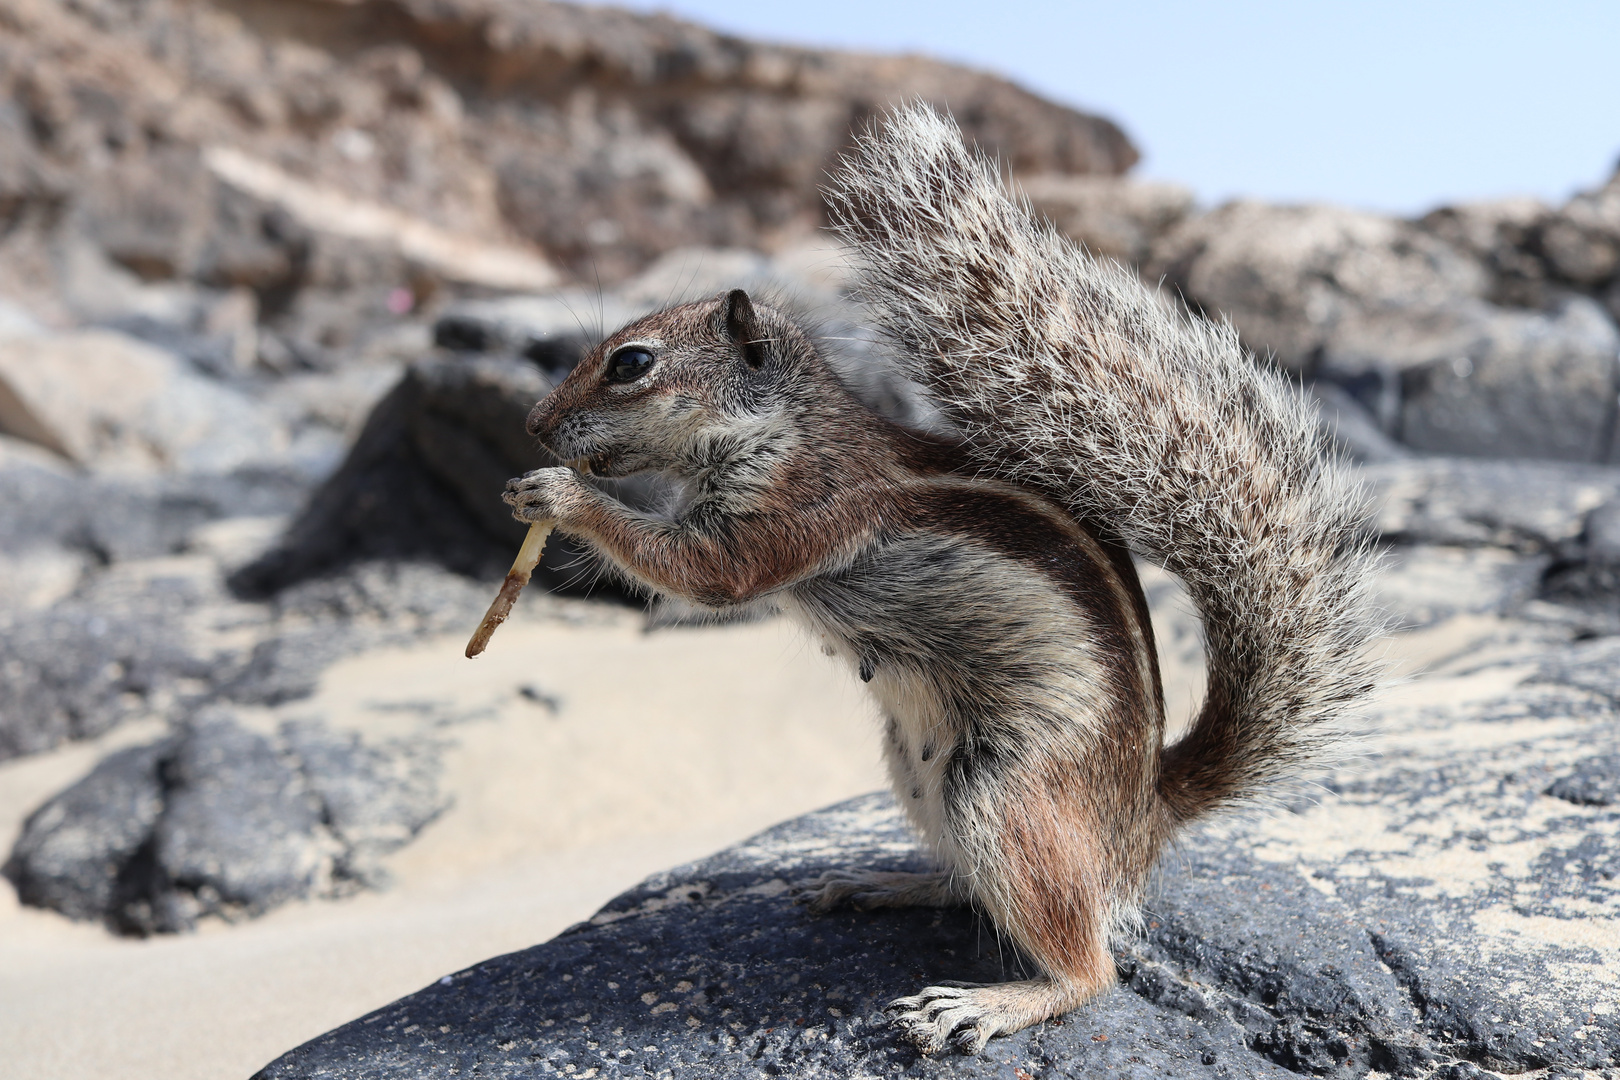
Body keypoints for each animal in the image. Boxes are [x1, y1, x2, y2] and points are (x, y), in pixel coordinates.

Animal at [502, 103, 1380, 1055]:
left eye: (631, 363)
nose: (535, 423)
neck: (786, 428)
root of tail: (1146, 815)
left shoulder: (796, 513)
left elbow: (704, 576)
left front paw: (560, 496)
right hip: (914, 771)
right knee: (974, 890)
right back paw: (888, 884)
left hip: (1004, 792)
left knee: (1090, 965)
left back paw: (989, 1002)